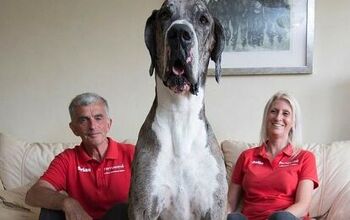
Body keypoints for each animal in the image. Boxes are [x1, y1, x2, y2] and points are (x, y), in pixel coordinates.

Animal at [129, 0, 227, 219]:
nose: (180, 33)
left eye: (203, 19)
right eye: (165, 14)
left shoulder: (215, 208)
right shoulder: (143, 208)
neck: (181, 115)